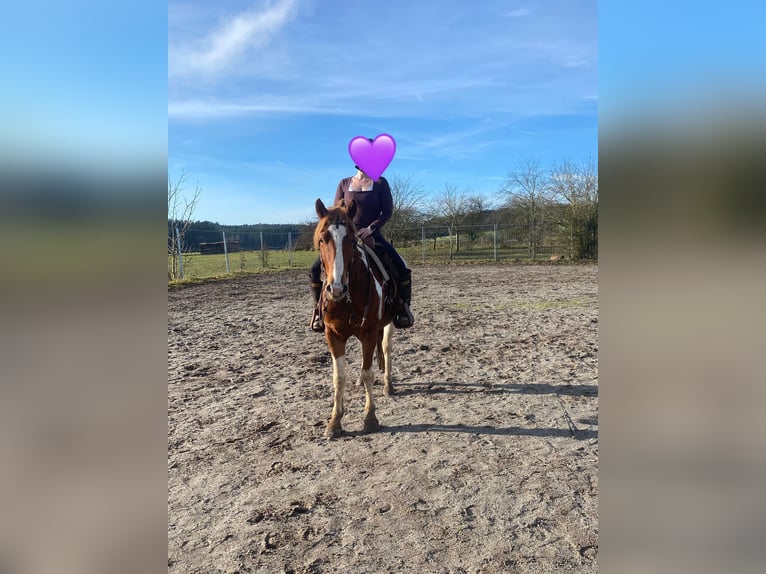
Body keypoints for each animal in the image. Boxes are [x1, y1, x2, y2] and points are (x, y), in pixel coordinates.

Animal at [313, 198, 395, 438]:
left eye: (351, 238)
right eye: (323, 239)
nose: (336, 289)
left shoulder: (369, 332)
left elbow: (368, 372)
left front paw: (370, 418)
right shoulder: (333, 335)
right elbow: (338, 377)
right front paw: (334, 422)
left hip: (389, 324)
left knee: (386, 348)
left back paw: (388, 385)